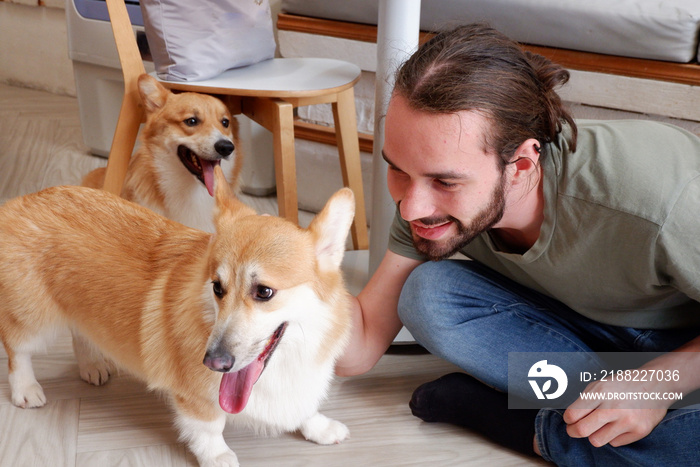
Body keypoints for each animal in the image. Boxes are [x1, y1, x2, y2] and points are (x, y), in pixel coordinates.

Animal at [0, 166, 352, 466]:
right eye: (217, 288)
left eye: (264, 291)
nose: (213, 362)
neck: (287, 360)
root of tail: (19, 202)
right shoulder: (194, 397)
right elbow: (209, 427)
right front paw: (218, 457)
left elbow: (304, 407)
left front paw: (321, 427)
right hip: (33, 319)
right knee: (18, 350)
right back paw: (26, 389)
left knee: (79, 331)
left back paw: (91, 366)